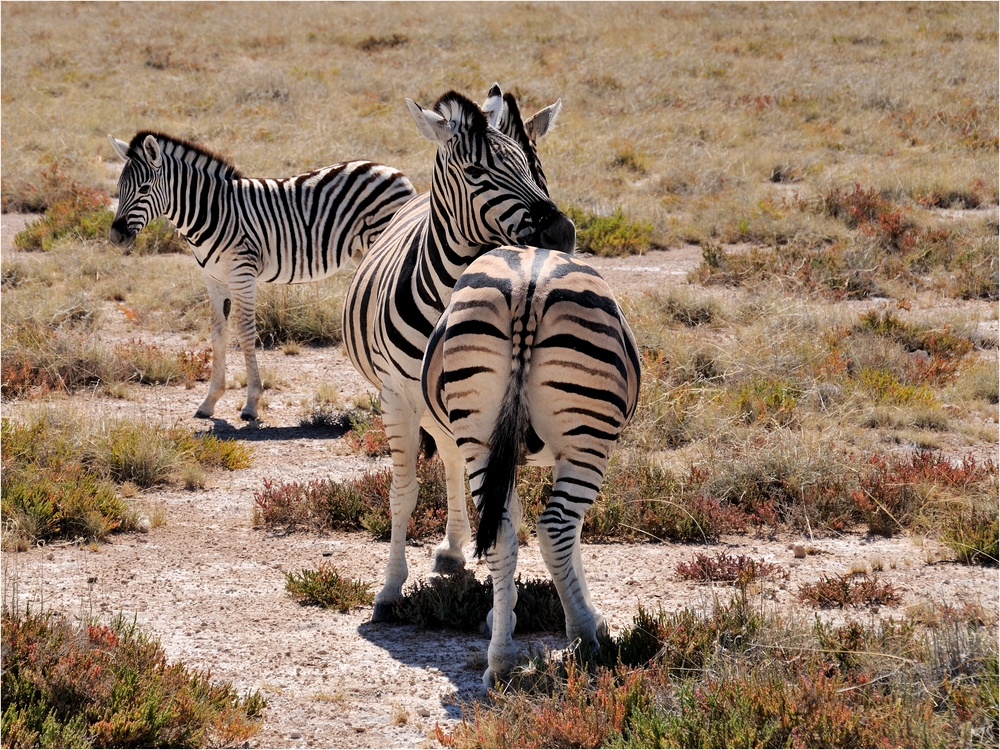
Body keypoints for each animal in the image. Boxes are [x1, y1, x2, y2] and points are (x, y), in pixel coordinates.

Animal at [108, 134, 418, 424]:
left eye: (144, 188)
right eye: (118, 190)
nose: (116, 237)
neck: (212, 212)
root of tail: (392, 170)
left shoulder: (242, 273)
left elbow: (245, 333)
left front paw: (251, 404)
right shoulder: (214, 279)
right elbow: (218, 334)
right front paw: (209, 401)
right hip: (361, 254)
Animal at [344, 85, 576, 644]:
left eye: (533, 166)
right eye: (475, 172)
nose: (561, 233)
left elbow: (502, 498)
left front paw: (501, 608)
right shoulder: (396, 399)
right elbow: (402, 492)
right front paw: (389, 590)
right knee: (448, 460)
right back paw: (451, 550)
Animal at [422, 245, 640, 688]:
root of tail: (527, 287)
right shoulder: (563, 455)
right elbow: (573, 533)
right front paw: (591, 616)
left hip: (479, 434)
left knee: (502, 533)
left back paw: (501, 661)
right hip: (587, 439)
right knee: (555, 528)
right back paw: (586, 640)